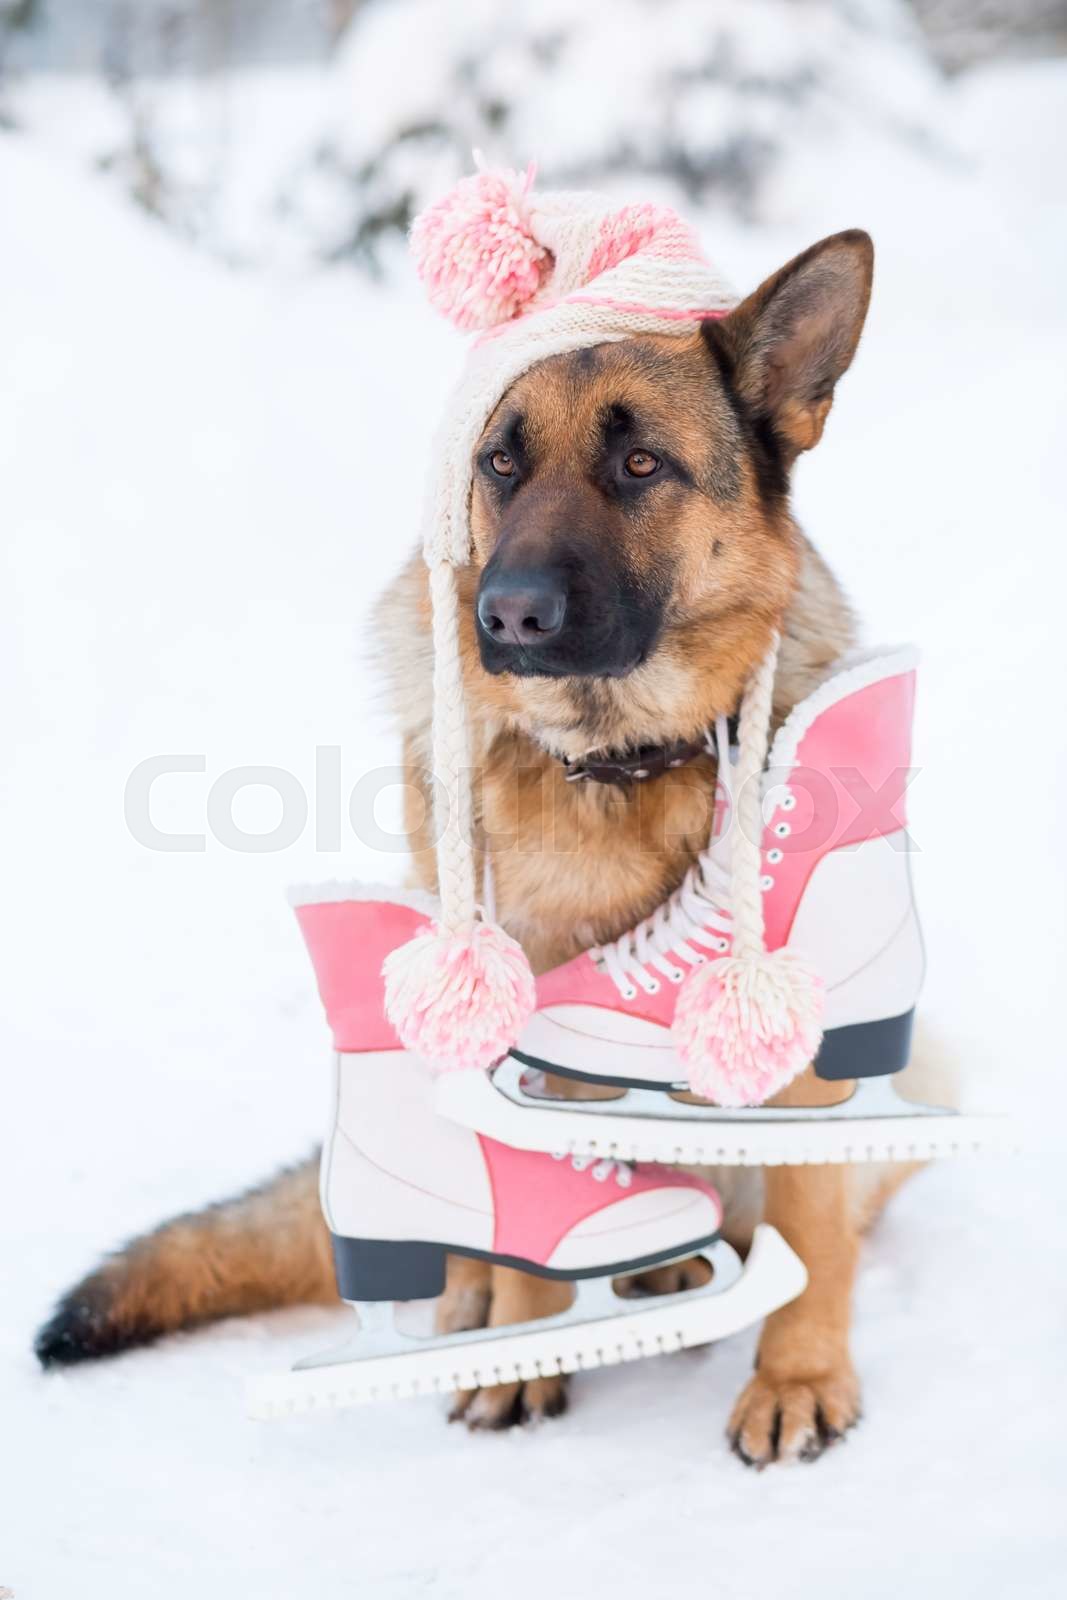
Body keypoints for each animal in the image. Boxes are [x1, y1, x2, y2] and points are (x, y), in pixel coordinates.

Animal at [33, 232, 921, 1465]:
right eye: (500, 464)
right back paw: (485, 1299)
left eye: (640, 463)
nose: (508, 616)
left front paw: (795, 1374)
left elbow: (811, 1212)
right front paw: (525, 1348)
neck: (614, 761)